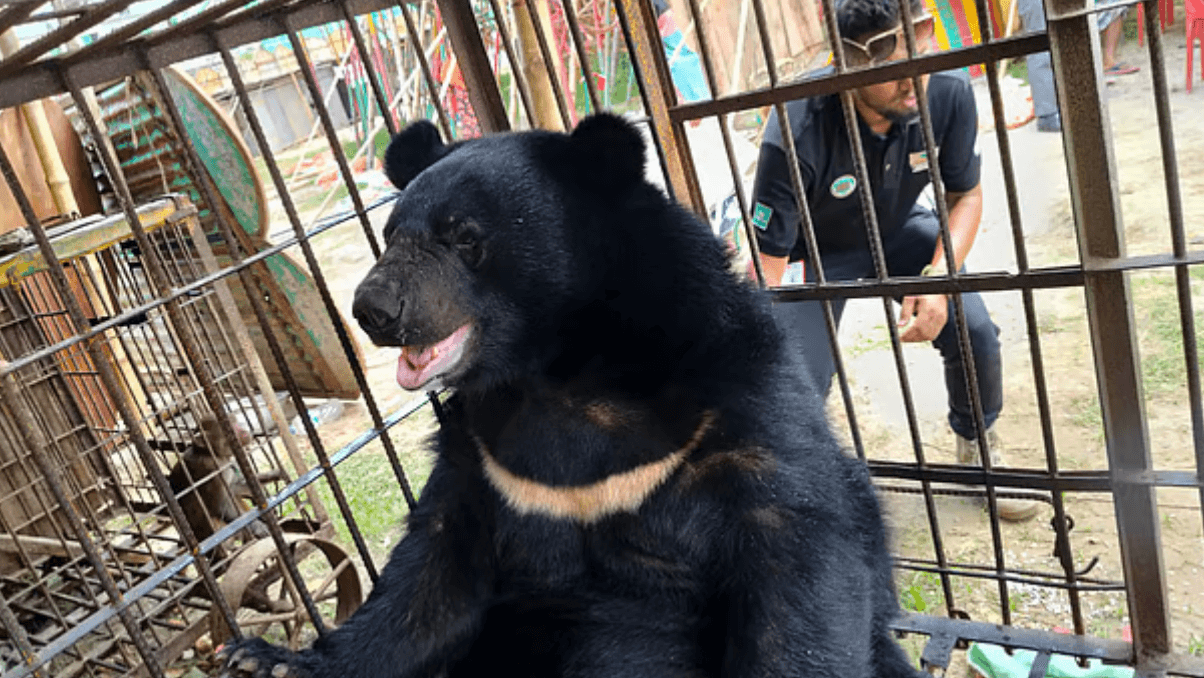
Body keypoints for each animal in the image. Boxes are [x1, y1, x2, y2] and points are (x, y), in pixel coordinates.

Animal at [216, 113, 923, 678]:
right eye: (390, 234)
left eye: (464, 237)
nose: (375, 311)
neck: (559, 373)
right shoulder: (486, 459)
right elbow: (431, 579)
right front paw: (268, 659)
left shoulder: (737, 407)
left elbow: (796, 563)